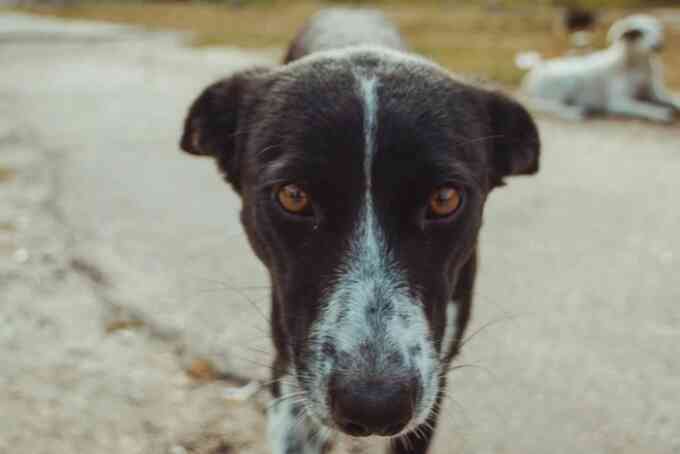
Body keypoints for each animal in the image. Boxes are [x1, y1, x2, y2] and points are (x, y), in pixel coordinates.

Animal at [516, 14, 676, 122]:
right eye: (639, 32)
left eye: (658, 29)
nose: (659, 46)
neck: (638, 65)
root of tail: (534, 72)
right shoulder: (619, 101)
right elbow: (644, 107)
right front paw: (661, 113)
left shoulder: (655, 92)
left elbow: (673, 98)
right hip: (567, 82)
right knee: (546, 104)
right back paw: (575, 112)